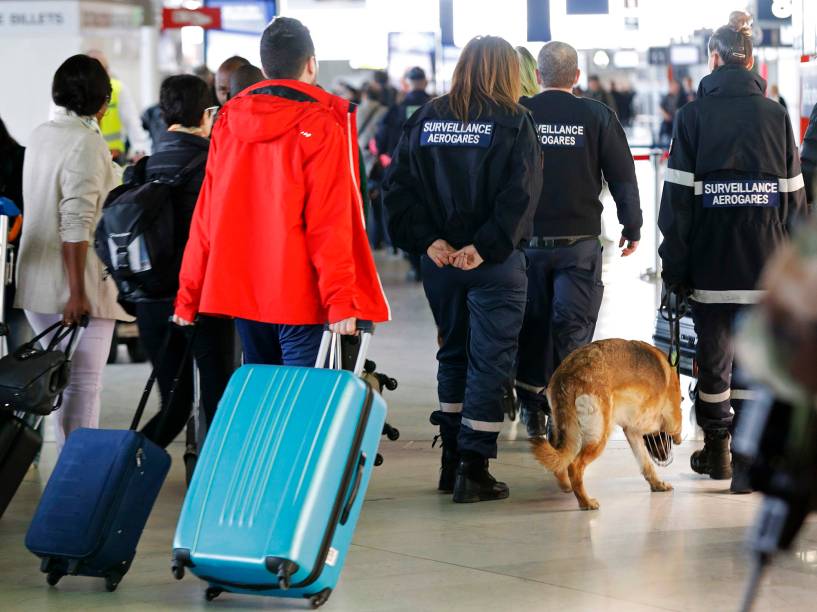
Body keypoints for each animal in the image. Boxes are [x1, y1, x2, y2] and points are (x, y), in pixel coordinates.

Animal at [532, 340, 684, 512]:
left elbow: (646, 463)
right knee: (575, 466)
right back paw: (586, 502)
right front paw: (678, 438)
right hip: (599, 437)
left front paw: (657, 484)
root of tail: (568, 377)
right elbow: (676, 425)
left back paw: (567, 486)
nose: (664, 458)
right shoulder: (668, 418)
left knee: (560, 461)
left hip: (566, 431)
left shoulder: (632, 431)